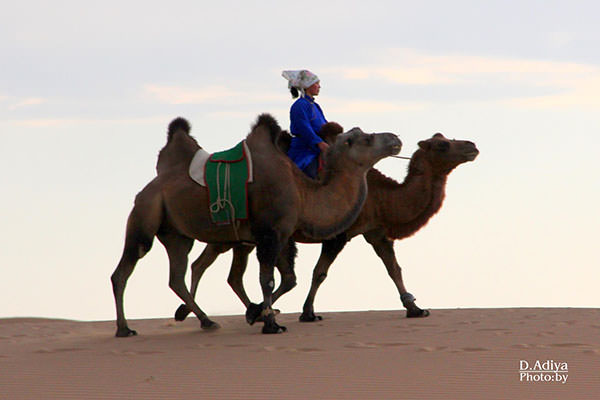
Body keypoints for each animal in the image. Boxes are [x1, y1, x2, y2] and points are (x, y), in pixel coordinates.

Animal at [111, 114, 404, 336]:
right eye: (367, 138)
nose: (395, 138)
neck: (303, 191)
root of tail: (146, 189)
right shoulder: (270, 233)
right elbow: (268, 280)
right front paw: (271, 324)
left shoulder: (281, 235)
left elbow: (282, 279)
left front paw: (258, 314)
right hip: (145, 214)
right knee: (124, 269)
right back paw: (124, 329)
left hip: (177, 233)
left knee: (177, 276)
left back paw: (207, 321)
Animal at [172, 131, 478, 324]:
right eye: (442, 146)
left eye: (445, 138)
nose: (472, 146)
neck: (381, 196)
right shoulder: (338, 234)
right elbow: (317, 273)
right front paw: (305, 312)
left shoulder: (376, 232)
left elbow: (394, 269)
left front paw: (415, 307)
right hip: (230, 233)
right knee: (205, 265)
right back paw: (199, 312)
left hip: (240, 238)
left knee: (218, 270)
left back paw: (199, 311)